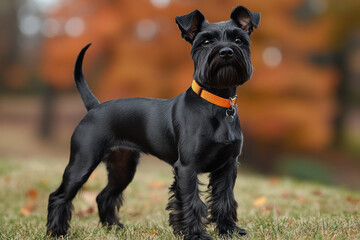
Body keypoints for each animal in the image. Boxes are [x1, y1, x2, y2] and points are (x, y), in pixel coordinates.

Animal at [47, 5, 260, 240]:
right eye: (205, 42)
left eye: (238, 40)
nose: (226, 52)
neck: (217, 103)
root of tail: (94, 106)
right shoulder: (187, 167)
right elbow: (191, 202)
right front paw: (196, 234)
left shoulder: (227, 166)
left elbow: (225, 199)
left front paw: (229, 230)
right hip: (82, 162)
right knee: (58, 195)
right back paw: (56, 232)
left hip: (123, 166)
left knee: (104, 196)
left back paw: (114, 227)